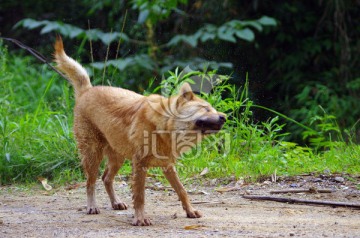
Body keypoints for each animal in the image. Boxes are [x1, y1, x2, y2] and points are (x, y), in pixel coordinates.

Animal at [53, 35, 225, 225]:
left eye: (212, 108)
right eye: (206, 108)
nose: (224, 117)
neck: (164, 127)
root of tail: (87, 91)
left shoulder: (168, 166)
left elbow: (182, 190)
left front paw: (190, 210)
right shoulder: (140, 165)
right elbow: (140, 196)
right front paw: (140, 218)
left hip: (117, 158)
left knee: (106, 178)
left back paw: (116, 202)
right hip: (93, 155)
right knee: (90, 183)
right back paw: (92, 206)